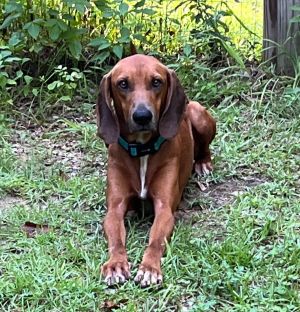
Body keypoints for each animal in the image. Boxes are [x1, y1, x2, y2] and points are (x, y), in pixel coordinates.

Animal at [96, 54, 216, 288]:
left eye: (156, 82)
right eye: (122, 84)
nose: (142, 116)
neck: (142, 149)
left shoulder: (164, 207)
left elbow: (156, 240)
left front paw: (149, 268)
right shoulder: (114, 208)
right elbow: (116, 240)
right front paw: (115, 264)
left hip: (198, 113)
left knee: (205, 148)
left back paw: (203, 164)